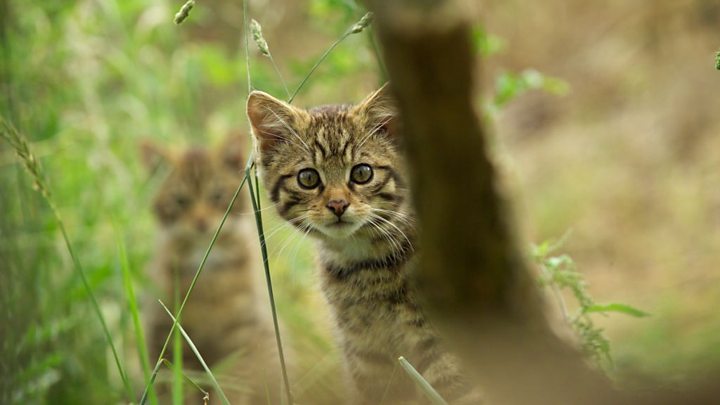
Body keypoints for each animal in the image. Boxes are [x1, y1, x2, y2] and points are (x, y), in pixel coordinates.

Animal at [139, 136, 280, 404]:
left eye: (217, 195)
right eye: (180, 201)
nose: (201, 221)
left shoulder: (244, 339)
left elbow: (235, 387)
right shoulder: (171, 341)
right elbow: (178, 390)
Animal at [249, 83, 484, 402]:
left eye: (362, 173)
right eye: (308, 177)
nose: (337, 205)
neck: (367, 265)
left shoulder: (445, 350)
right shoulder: (366, 358)